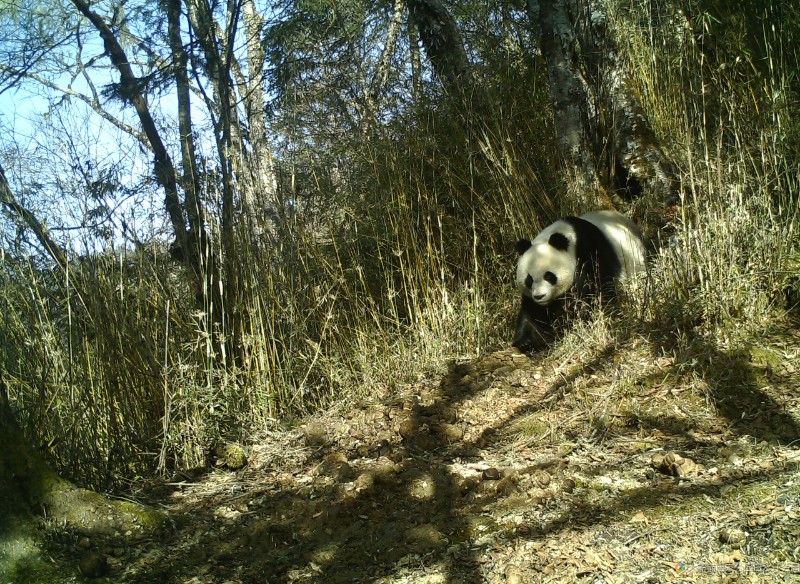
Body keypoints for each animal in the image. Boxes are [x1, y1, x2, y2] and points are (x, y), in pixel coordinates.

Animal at [512, 212, 648, 354]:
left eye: (549, 276)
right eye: (529, 280)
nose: (539, 296)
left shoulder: (591, 252)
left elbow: (594, 293)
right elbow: (532, 313)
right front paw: (526, 342)